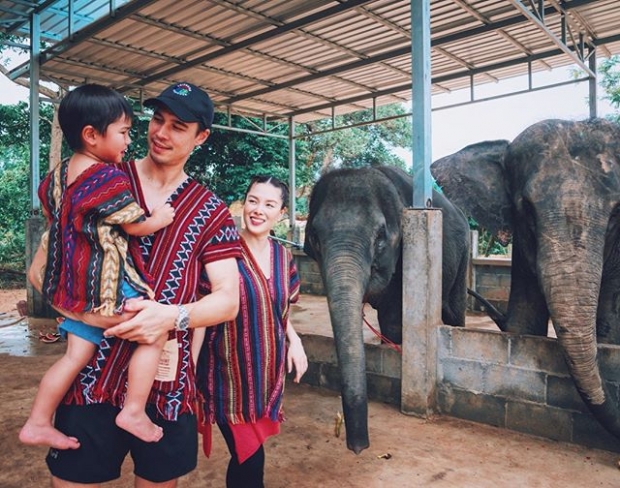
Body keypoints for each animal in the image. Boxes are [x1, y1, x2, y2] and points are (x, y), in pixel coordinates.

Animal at [302, 165, 470, 454]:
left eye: (380, 238)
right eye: (314, 238)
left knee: (453, 310)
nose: (358, 448)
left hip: (463, 256)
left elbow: (393, 318)